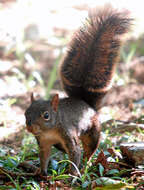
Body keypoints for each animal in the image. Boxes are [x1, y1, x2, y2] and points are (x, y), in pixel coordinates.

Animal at [24, 5, 132, 176]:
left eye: (46, 115)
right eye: (25, 113)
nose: (30, 127)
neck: (50, 130)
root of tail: (87, 104)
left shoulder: (68, 134)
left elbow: (75, 153)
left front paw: (73, 175)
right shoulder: (43, 142)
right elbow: (44, 156)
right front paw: (42, 172)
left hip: (93, 132)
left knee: (88, 150)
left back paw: (86, 166)